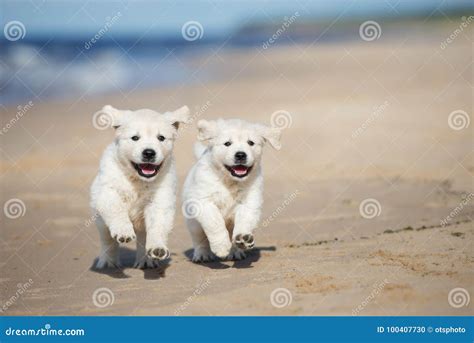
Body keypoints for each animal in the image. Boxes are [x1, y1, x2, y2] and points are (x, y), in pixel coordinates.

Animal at [90, 105, 191, 268]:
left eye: (161, 138)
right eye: (135, 138)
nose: (149, 153)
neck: (138, 180)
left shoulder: (159, 200)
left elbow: (157, 225)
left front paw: (157, 248)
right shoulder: (108, 193)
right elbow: (117, 210)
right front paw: (123, 231)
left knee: (143, 237)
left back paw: (145, 261)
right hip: (99, 218)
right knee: (107, 240)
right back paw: (108, 262)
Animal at [182, 119, 282, 262]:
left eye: (250, 143)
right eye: (227, 144)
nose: (240, 155)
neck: (230, 181)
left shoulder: (249, 202)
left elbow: (244, 221)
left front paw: (243, 238)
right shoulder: (204, 202)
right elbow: (215, 223)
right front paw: (221, 247)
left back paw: (236, 251)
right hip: (193, 223)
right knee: (199, 239)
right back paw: (202, 255)